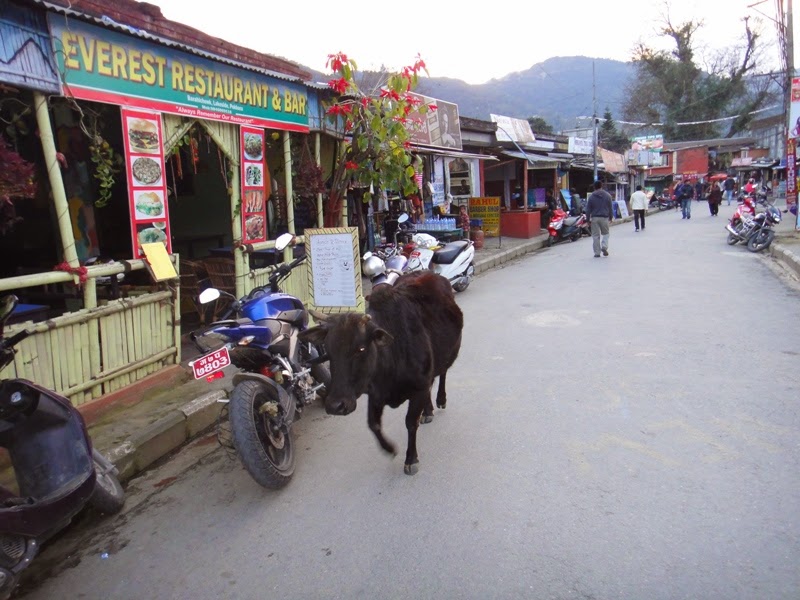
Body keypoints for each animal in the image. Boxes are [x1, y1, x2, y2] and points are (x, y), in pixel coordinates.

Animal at [298, 270, 462, 474]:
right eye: (328, 349)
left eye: (360, 349)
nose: (336, 406)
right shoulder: (376, 394)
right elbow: (373, 424)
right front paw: (390, 448)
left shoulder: (418, 387)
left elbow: (410, 422)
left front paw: (411, 459)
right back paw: (428, 411)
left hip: (448, 354)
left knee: (443, 374)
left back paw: (440, 400)